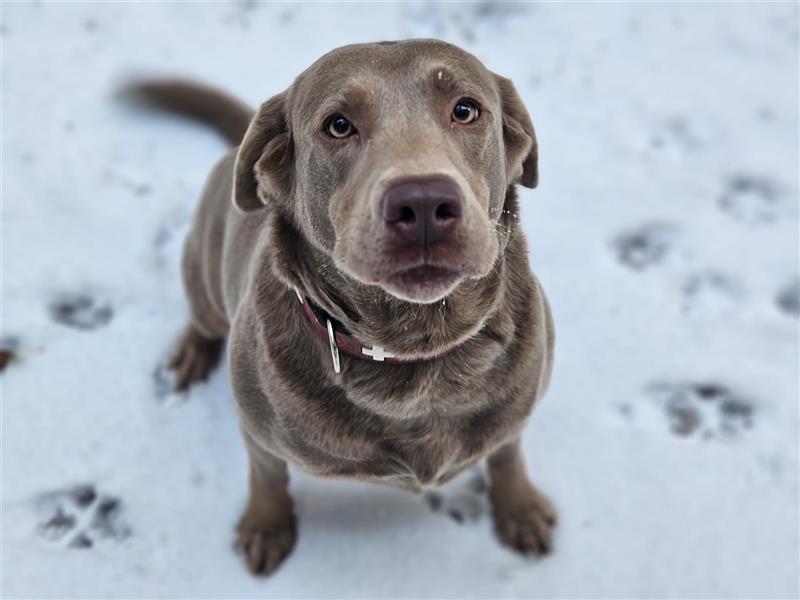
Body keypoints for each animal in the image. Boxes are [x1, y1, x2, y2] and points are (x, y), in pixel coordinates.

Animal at [130, 39, 556, 576]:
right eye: (337, 124)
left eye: (465, 110)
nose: (422, 202)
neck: (416, 349)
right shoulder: (259, 432)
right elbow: (266, 477)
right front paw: (266, 526)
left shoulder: (515, 410)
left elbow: (506, 454)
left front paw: (519, 508)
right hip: (203, 271)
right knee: (201, 316)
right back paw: (190, 352)